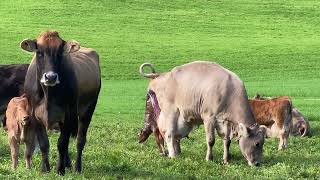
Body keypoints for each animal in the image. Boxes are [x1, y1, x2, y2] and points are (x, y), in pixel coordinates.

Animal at [20, 30, 100, 175]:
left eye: (59, 53)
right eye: (39, 52)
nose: (50, 77)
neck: (48, 94)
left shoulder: (67, 115)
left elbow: (61, 143)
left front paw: (59, 170)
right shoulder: (34, 115)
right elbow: (44, 143)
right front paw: (45, 169)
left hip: (88, 110)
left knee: (80, 140)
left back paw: (77, 167)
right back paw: (68, 163)